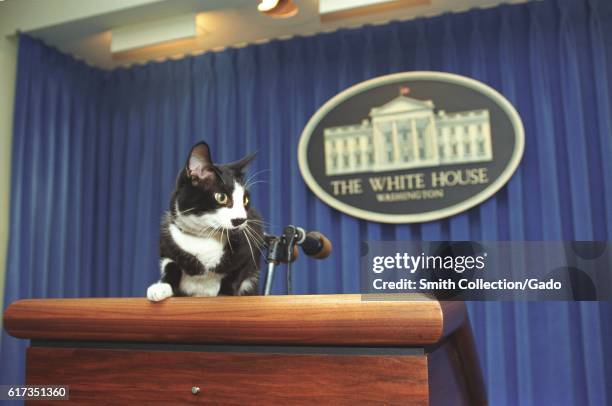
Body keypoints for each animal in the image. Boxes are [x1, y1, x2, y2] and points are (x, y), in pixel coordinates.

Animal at [148, 141, 266, 300]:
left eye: (245, 200)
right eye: (221, 197)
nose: (241, 219)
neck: (204, 237)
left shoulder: (251, 242)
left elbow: (236, 274)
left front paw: (225, 294)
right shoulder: (167, 242)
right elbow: (170, 265)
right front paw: (160, 287)